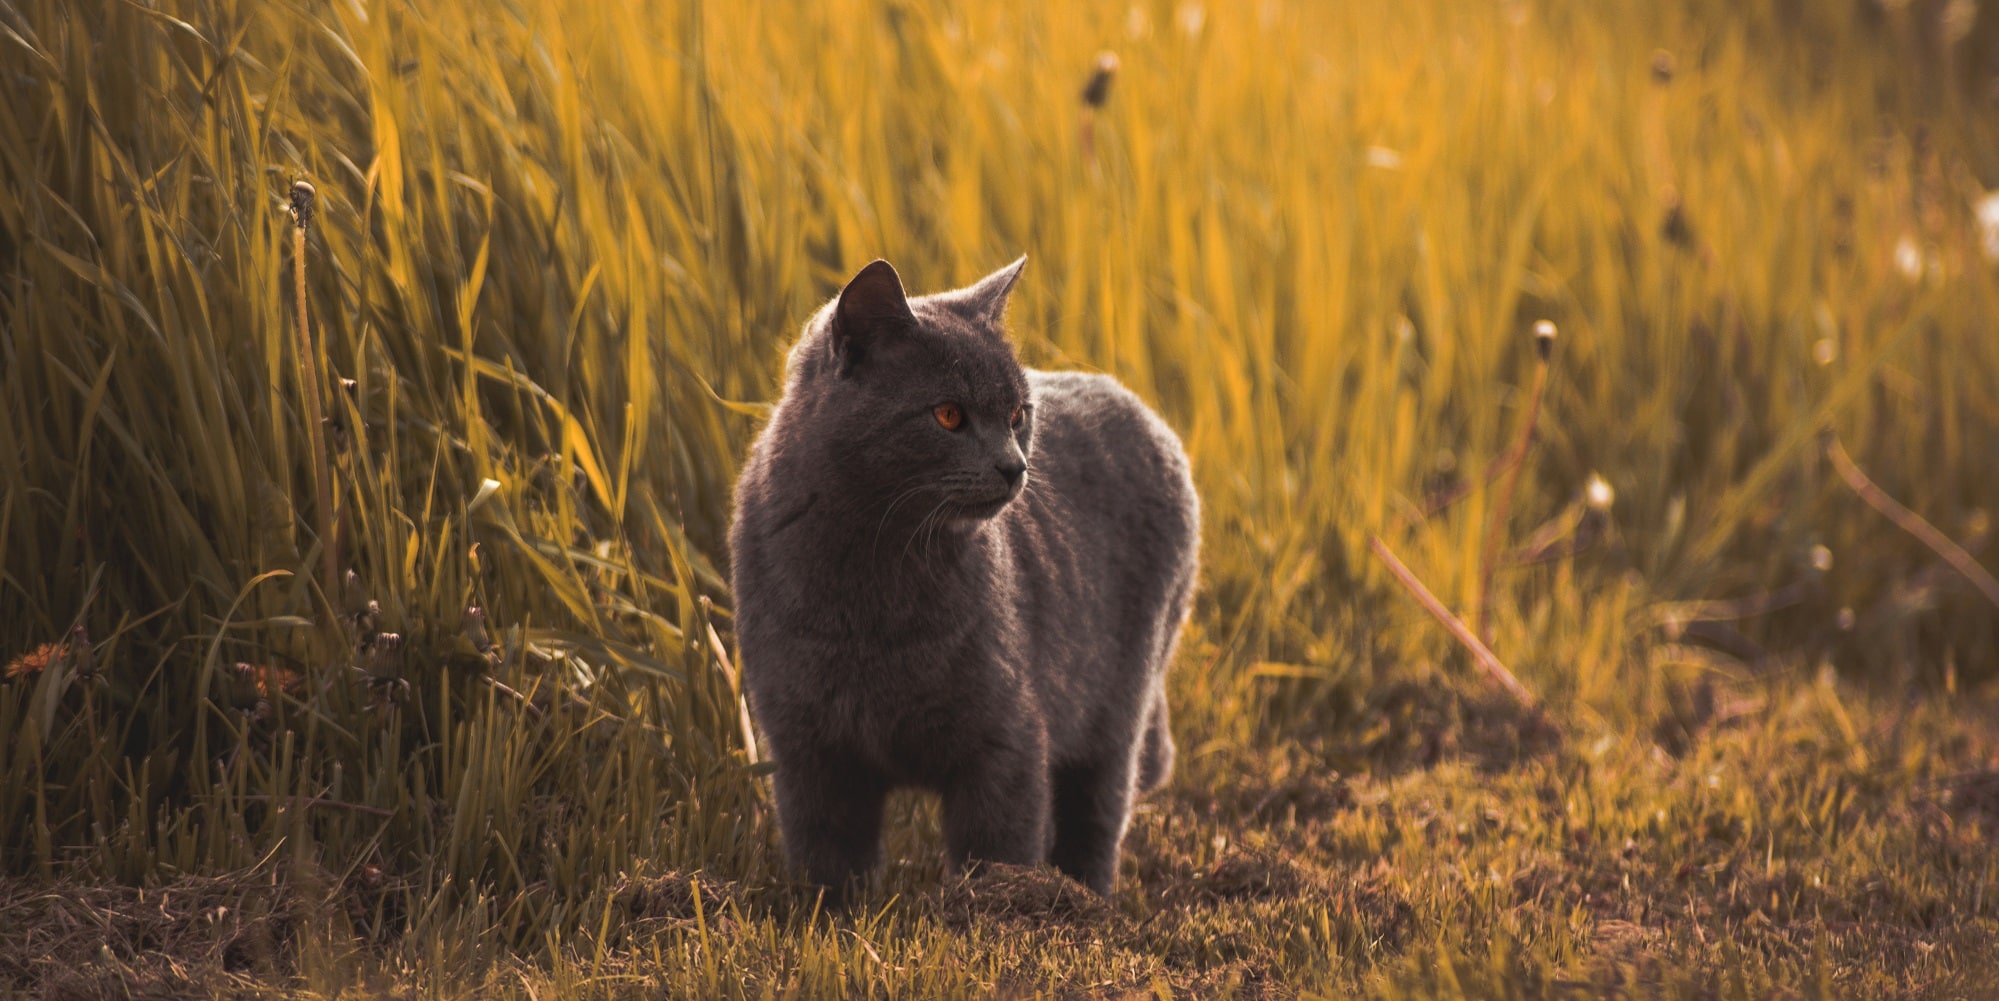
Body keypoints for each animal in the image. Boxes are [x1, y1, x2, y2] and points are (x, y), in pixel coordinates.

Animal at [735, 257, 1199, 899]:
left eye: (1018, 415)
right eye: (948, 414)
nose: (1015, 466)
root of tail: (1143, 409)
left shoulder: (1007, 737)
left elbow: (998, 846)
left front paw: (1001, 908)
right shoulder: (807, 746)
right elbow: (826, 855)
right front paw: (826, 911)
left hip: (1117, 704)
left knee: (1099, 812)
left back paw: (1087, 900)